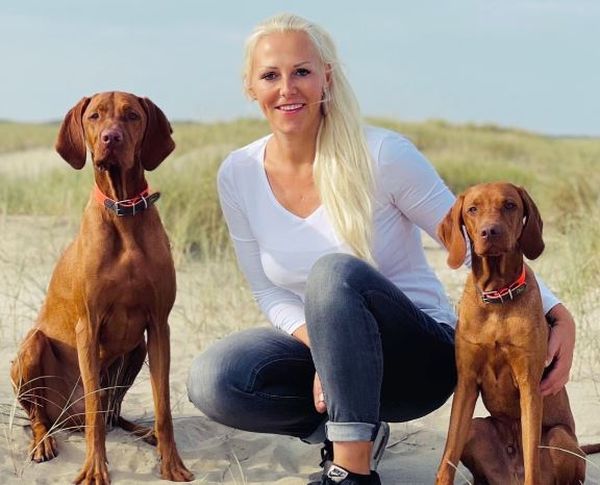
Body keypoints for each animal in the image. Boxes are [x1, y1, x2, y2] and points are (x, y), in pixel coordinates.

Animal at [9, 91, 192, 484]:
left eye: (132, 116)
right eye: (94, 116)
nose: (111, 138)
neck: (123, 210)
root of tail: (68, 419)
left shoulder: (158, 325)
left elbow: (163, 406)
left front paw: (171, 463)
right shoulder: (88, 327)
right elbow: (95, 406)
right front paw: (95, 468)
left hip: (137, 348)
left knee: (113, 414)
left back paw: (145, 433)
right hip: (31, 349)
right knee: (46, 417)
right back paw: (43, 443)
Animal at [434, 182, 584, 484]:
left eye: (510, 205)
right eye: (472, 209)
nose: (490, 232)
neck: (498, 297)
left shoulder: (530, 385)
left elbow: (531, 461)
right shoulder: (466, 381)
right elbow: (448, 455)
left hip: (559, 438)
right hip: (475, 429)